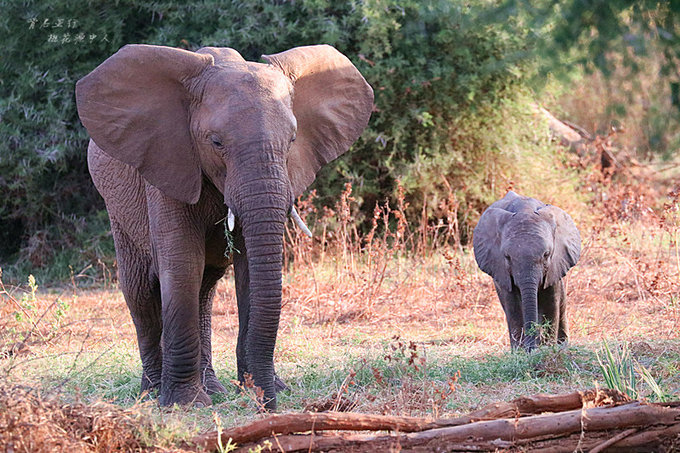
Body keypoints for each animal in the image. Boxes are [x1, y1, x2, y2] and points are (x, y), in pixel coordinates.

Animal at [77, 44, 374, 408]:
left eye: (292, 140)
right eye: (216, 142)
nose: (267, 405)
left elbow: (248, 272)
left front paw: (258, 390)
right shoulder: (168, 162)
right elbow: (181, 263)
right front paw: (184, 404)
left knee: (204, 289)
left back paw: (213, 389)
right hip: (116, 204)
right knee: (140, 291)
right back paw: (151, 393)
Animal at [472, 191, 580, 350]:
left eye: (546, 254)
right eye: (507, 257)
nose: (531, 348)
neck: (525, 209)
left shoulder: (555, 264)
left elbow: (550, 302)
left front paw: (547, 348)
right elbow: (513, 306)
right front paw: (520, 352)